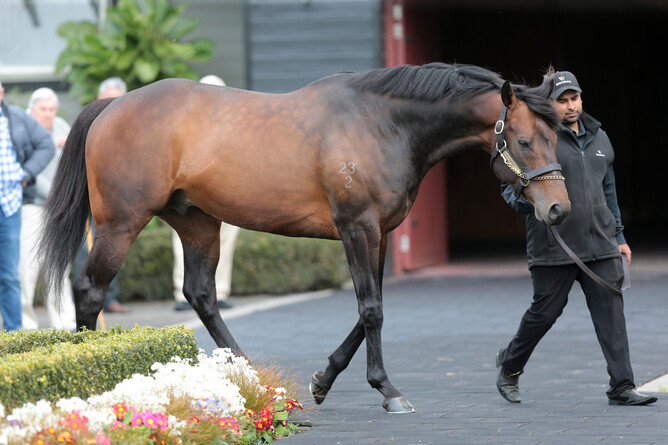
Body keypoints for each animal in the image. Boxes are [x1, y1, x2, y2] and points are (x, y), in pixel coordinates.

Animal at [39, 63, 570, 413]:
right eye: (524, 141)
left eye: (557, 136)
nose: (557, 209)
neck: (382, 123)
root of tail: (114, 105)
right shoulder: (357, 226)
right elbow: (371, 310)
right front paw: (388, 390)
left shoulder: (379, 233)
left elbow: (371, 308)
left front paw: (322, 380)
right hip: (120, 224)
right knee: (90, 290)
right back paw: (89, 386)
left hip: (197, 223)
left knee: (201, 294)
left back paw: (249, 373)